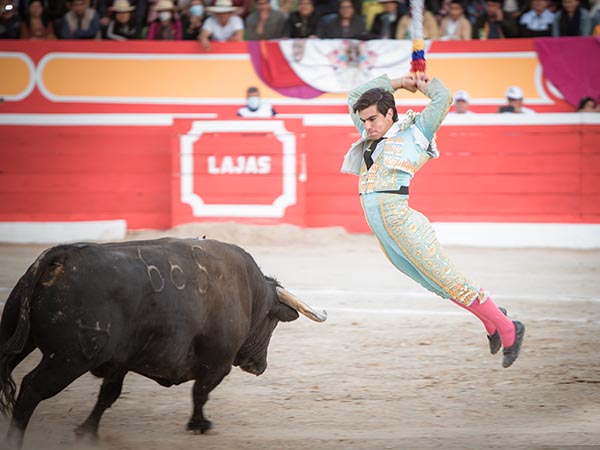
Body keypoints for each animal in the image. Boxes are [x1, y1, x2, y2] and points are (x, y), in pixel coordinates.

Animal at [0, 237, 326, 448]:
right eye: (272, 321)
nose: (260, 366)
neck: (249, 291)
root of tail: (62, 256)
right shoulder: (217, 364)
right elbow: (200, 393)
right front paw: (200, 425)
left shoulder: (121, 361)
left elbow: (108, 395)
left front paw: (87, 431)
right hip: (69, 359)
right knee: (31, 388)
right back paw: (15, 439)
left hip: (18, 337)